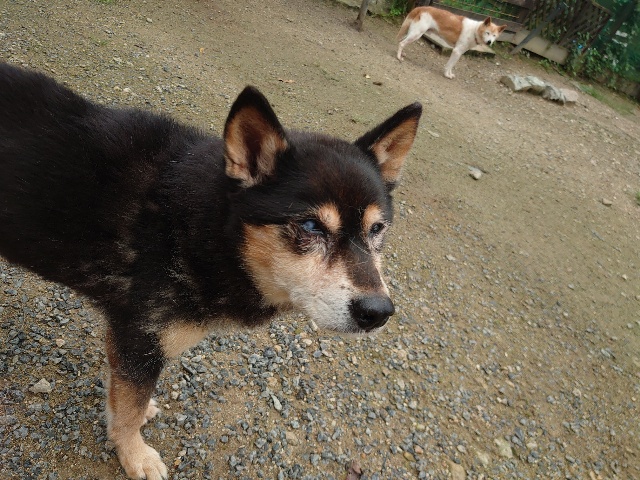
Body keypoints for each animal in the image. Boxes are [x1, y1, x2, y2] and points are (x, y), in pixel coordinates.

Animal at [0, 63, 422, 479]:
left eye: (377, 229)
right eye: (312, 226)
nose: (378, 312)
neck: (196, 226)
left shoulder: (132, 341)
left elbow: (126, 396)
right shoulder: (141, 335)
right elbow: (128, 410)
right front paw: (135, 456)